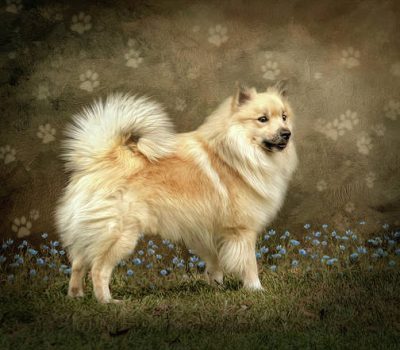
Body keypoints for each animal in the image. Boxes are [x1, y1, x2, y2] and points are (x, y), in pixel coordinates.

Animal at [55, 83, 296, 302]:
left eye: (284, 117)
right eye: (262, 119)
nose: (286, 133)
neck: (236, 152)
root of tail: (101, 158)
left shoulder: (210, 232)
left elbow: (215, 263)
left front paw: (216, 286)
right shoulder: (242, 231)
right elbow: (249, 264)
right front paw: (256, 289)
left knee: (78, 263)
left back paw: (76, 296)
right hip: (120, 234)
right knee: (98, 269)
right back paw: (107, 301)